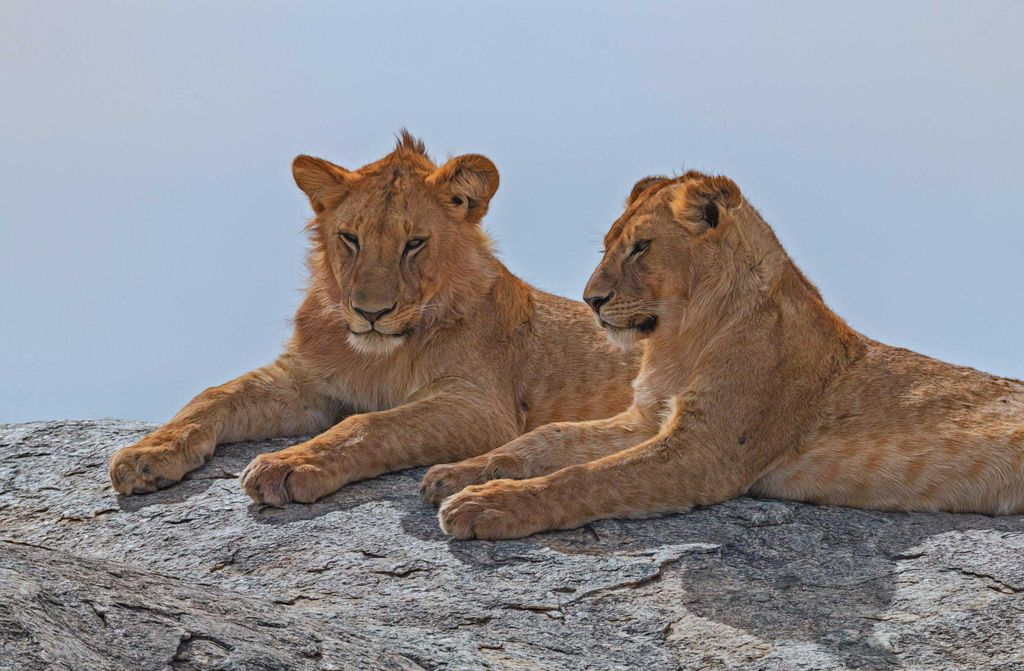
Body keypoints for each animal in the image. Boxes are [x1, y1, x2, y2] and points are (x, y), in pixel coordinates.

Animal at [108, 132, 639, 504]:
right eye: (351, 238)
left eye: (414, 243)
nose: (371, 312)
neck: (377, 355)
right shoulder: (304, 384)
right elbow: (214, 394)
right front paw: (147, 453)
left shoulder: (482, 408)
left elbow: (369, 425)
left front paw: (287, 465)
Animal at [425, 170, 1024, 539]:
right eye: (608, 245)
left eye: (641, 247)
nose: (591, 300)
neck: (680, 340)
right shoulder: (646, 419)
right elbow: (548, 438)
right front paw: (459, 472)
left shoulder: (704, 452)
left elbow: (586, 477)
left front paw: (487, 505)